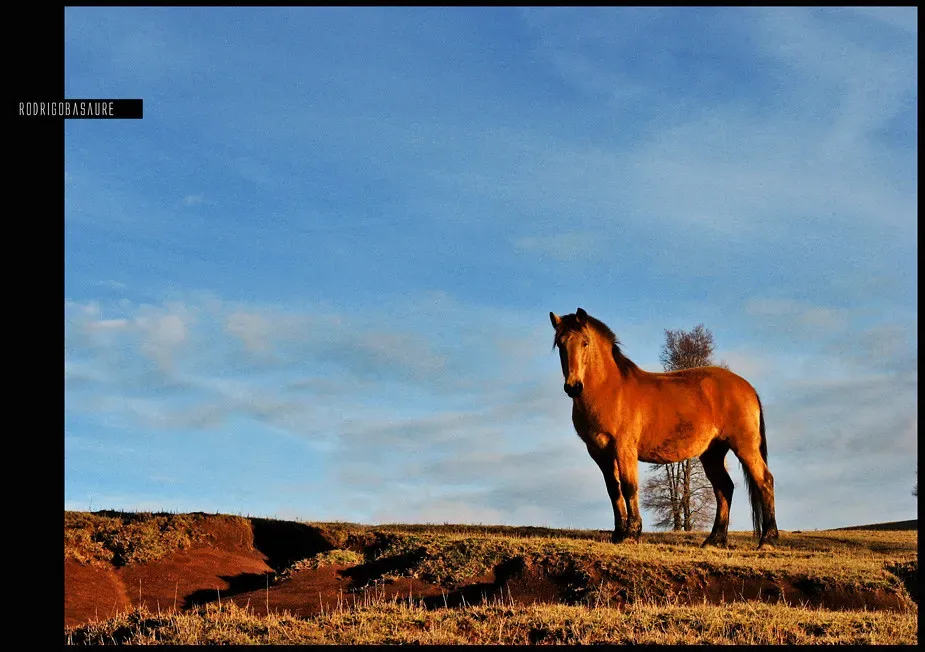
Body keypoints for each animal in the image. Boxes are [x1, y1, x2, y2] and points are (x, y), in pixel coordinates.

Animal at [549, 308, 779, 549]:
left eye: (585, 342)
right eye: (560, 344)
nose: (573, 387)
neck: (610, 390)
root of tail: (748, 387)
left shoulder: (624, 448)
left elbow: (629, 487)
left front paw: (631, 534)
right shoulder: (599, 452)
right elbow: (614, 490)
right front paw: (618, 534)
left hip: (744, 446)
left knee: (764, 481)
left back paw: (767, 540)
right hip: (712, 452)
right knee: (724, 487)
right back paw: (714, 539)